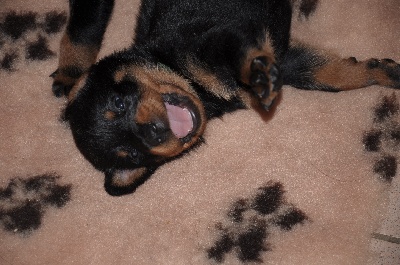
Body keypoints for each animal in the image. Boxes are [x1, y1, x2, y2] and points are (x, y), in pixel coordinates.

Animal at [52, 0, 400, 194]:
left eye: (119, 103)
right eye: (132, 155)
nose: (155, 133)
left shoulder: (222, 36)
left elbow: (247, 57)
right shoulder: (287, 60)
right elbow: (331, 75)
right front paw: (384, 72)